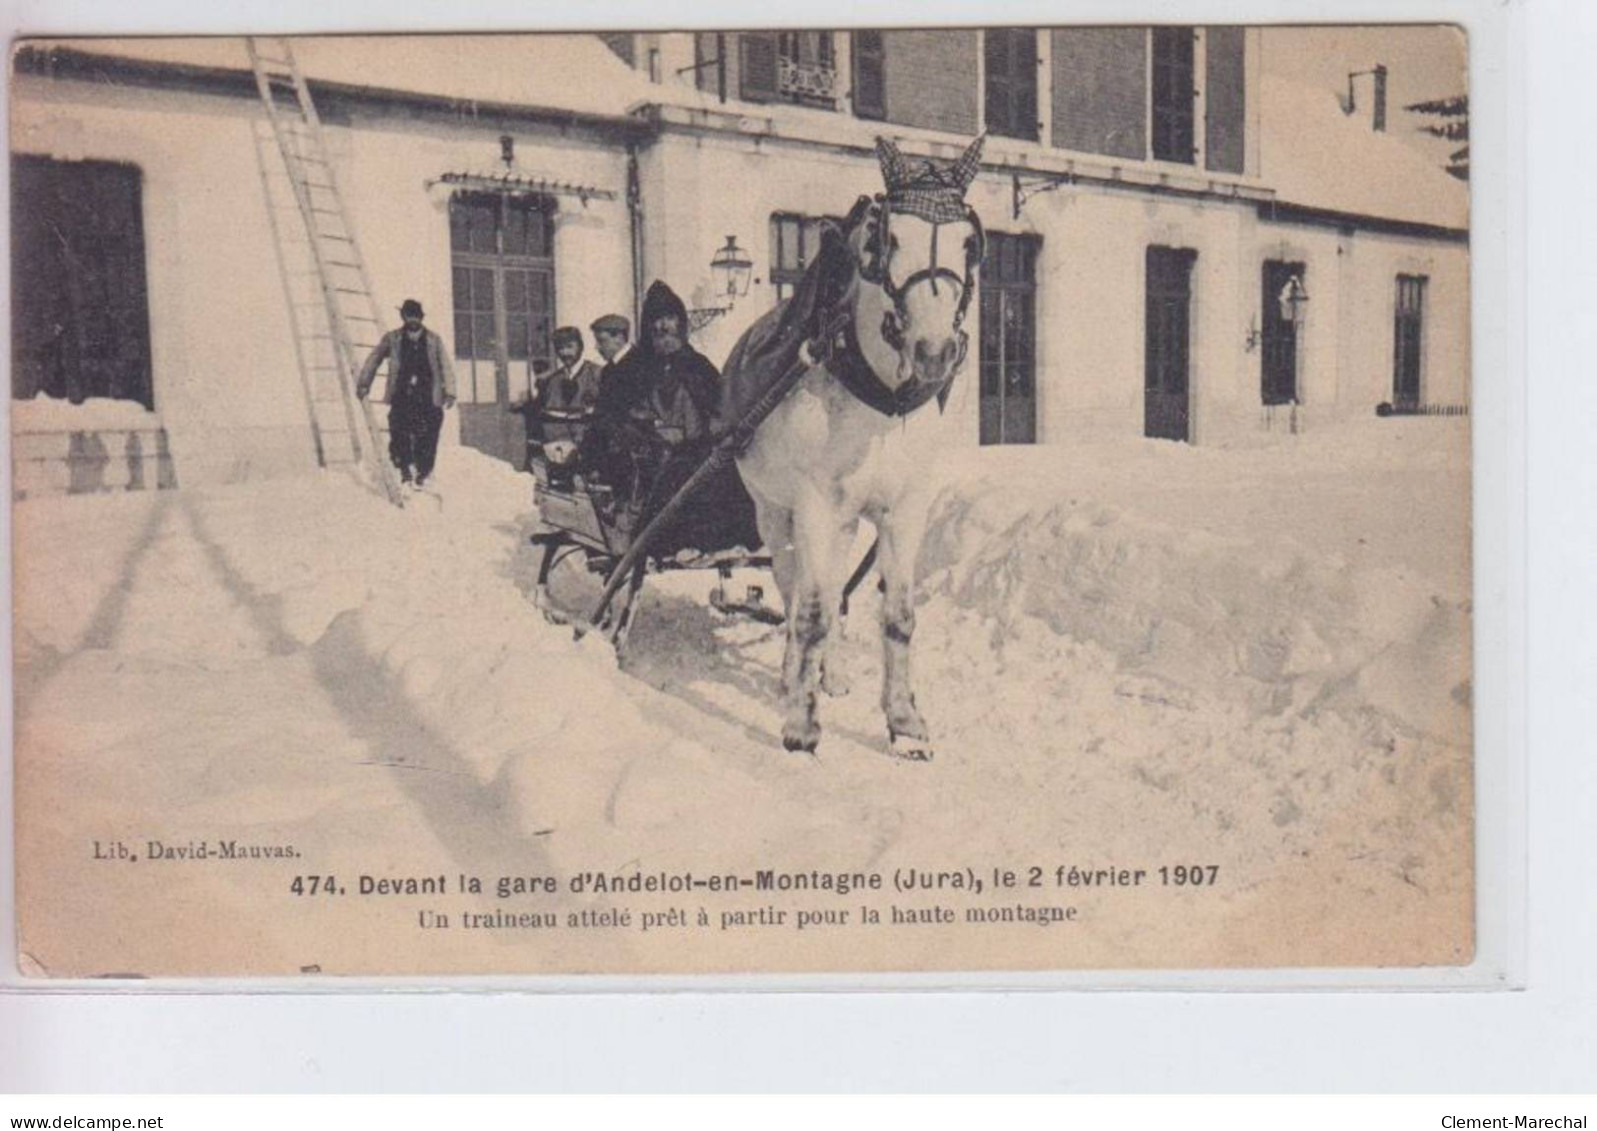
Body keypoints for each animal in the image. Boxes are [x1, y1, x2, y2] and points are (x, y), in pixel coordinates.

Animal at [728, 134, 983, 760]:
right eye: (887, 238)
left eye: (969, 244)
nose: (934, 352)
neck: (880, 401)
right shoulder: (813, 506)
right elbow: (812, 612)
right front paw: (801, 726)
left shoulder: (905, 509)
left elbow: (897, 614)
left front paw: (905, 722)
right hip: (775, 513)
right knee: (794, 592)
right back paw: (791, 675)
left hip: (841, 524)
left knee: (833, 588)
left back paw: (833, 673)